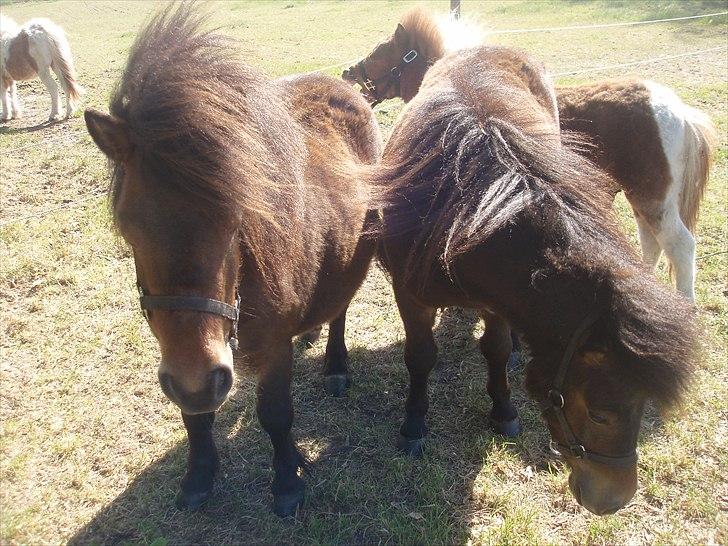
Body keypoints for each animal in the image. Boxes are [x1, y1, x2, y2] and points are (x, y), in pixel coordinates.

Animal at [82, 4, 382, 516]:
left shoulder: (272, 349)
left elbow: (275, 415)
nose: (199, 381)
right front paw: (199, 475)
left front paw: (286, 482)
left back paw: (335, 365)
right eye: (127, 226)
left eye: (236, 219)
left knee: (341, 306)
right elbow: (195, 418)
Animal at [344, 7, 720, 298]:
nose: (348, 72)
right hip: (643, 196)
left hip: (653, 197)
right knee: (652, 242)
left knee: (680, 245)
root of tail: (676, 109)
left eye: (380, 53)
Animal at [362, 12, 696, 512]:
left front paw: (503, 410)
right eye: (602, 414)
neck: (461, 204)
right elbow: (421, 357)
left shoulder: (498, 302)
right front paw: (414, 424)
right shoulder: (411, 295)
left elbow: (496, 350)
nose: (613, 500)